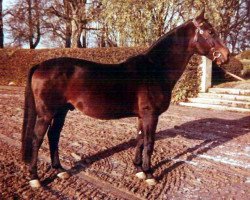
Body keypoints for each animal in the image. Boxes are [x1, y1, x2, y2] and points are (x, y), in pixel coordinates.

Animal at [21, 10, 229, 188]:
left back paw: (59, 170)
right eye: (210, 31)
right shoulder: (151, 115)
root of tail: (40, 65)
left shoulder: (142, 116)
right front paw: (150, 174)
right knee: (37, 139)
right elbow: (149, 144)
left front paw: (138, 170)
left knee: (53, 136)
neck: (155, 70)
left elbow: (140, 140)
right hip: (46, 114)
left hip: (61, 111)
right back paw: (35, 178)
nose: (226, 56)